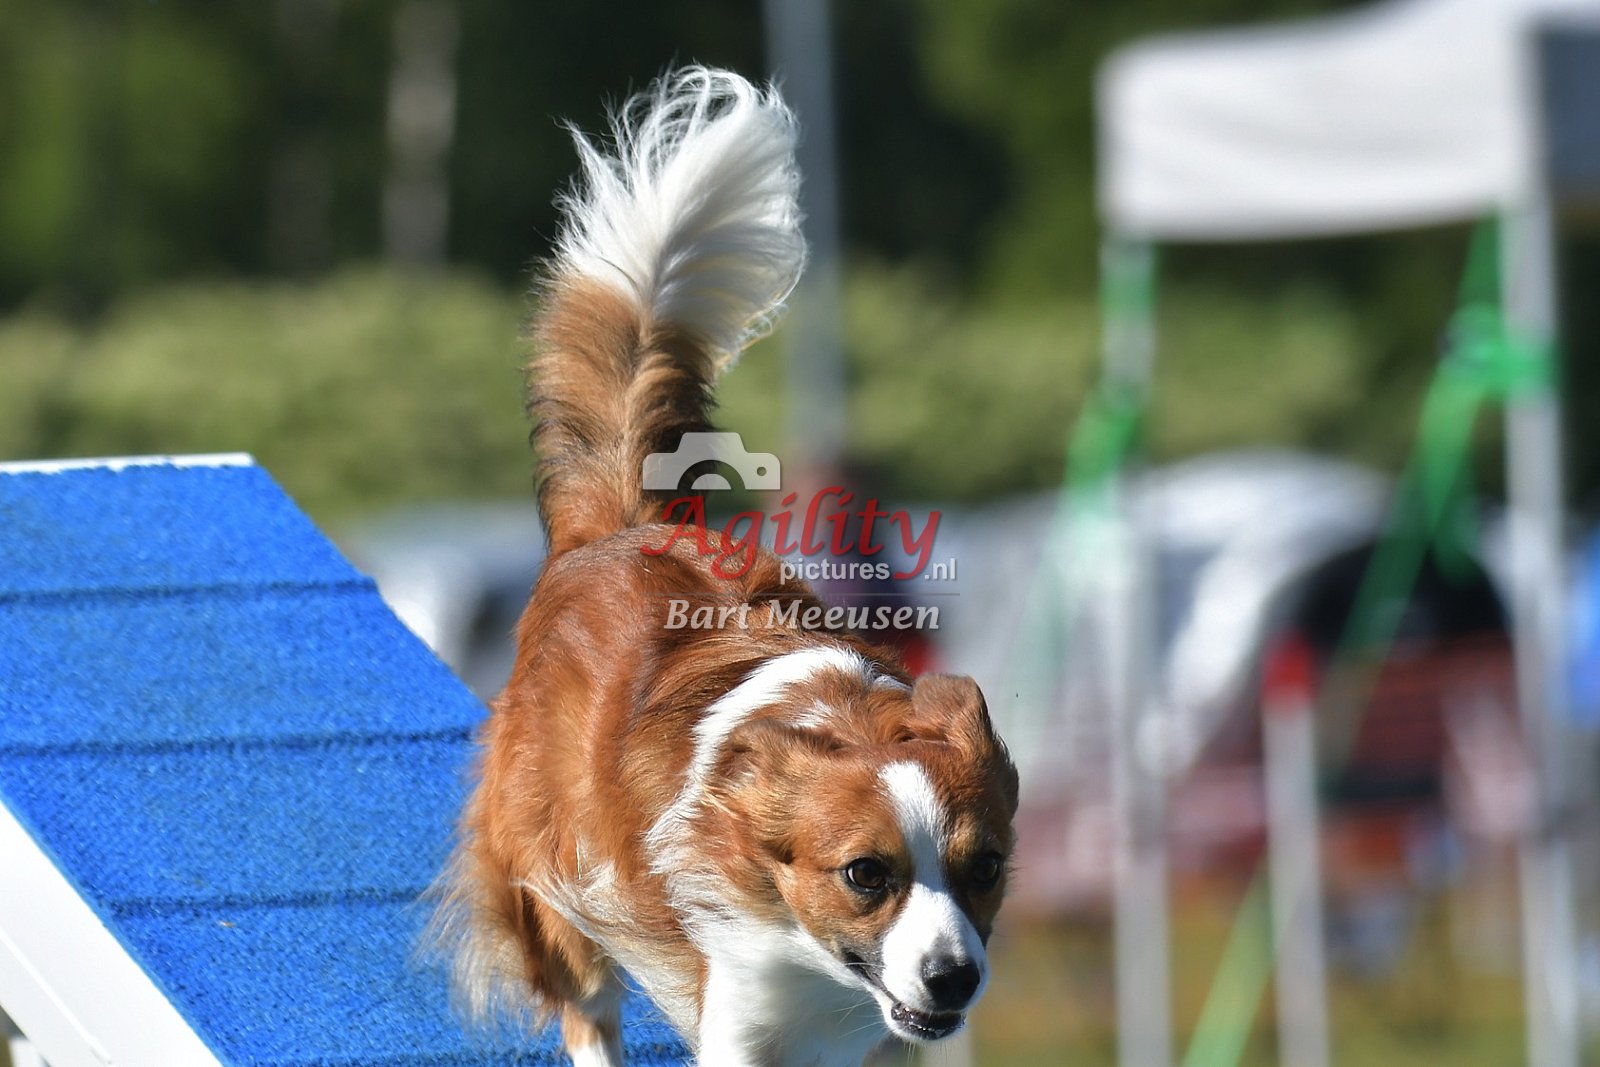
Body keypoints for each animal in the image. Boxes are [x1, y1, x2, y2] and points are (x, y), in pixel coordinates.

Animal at [429, 66, 1019, 1067]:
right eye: (867, 874)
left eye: (985, 867)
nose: (953, 978)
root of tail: (624, 522)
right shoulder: (737, 1004)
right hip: (553, 878)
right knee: (585, 1004)